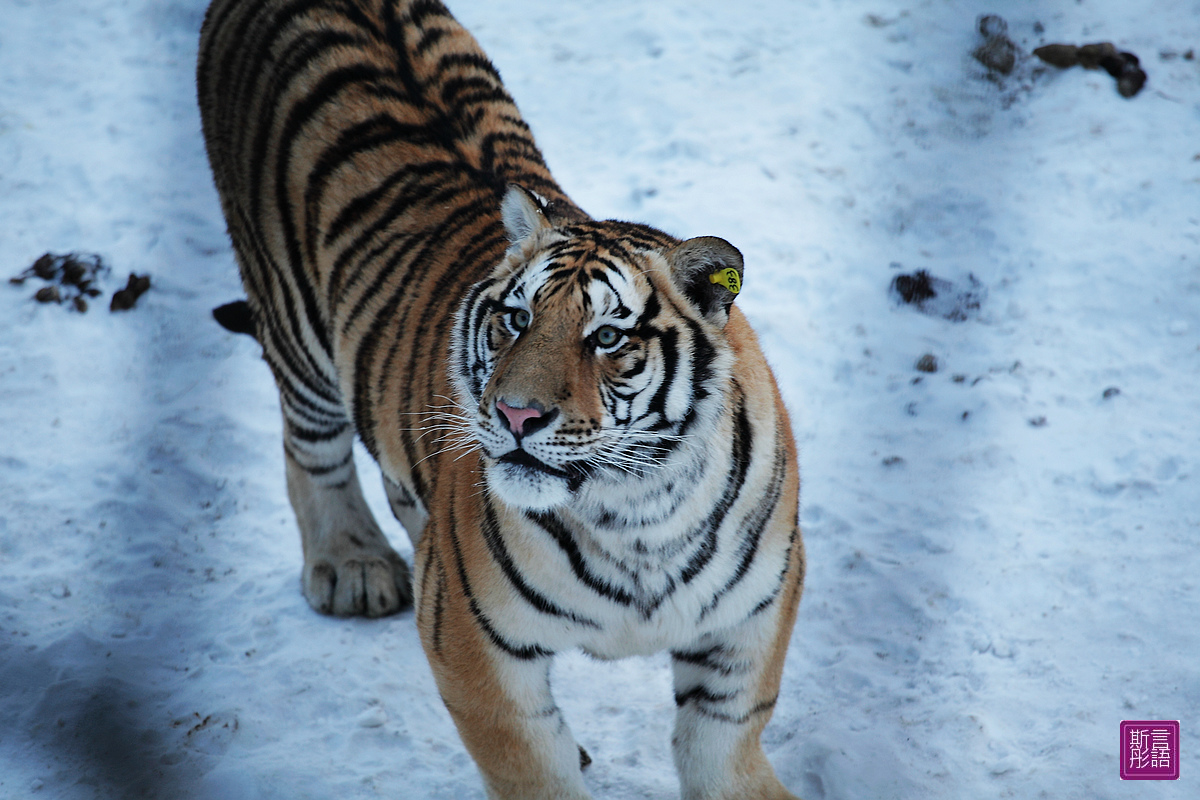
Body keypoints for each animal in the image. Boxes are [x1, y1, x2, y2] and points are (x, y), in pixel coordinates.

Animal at [199, 1, 806, 800]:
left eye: (607, 335)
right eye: (516, 319)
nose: (516, 416)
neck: (636, 514)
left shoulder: (750, 621)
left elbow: (723, 748)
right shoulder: (469, 634)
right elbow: (532, 767)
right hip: (295, 327)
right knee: (310, 447)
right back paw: (351, 565)